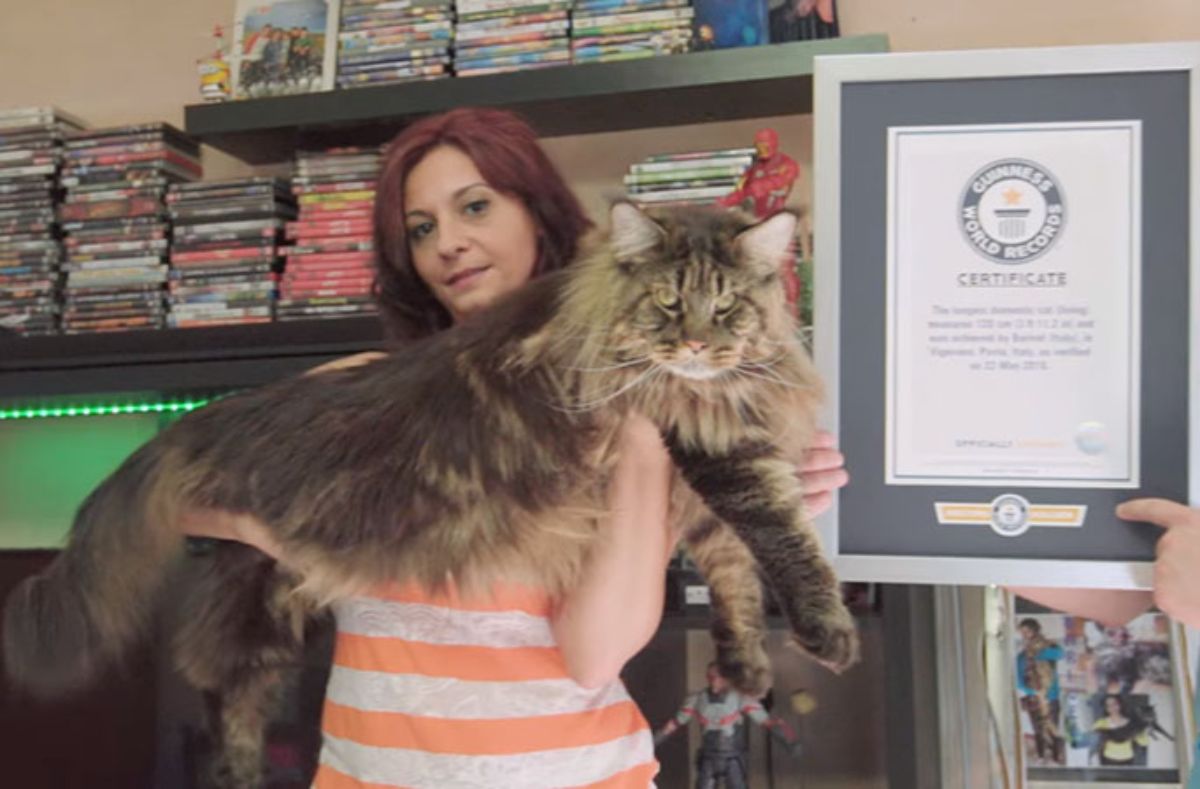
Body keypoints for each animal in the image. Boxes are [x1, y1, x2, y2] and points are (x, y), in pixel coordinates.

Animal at [4, 201, 859, 781]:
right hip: (260, 600)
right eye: (669, 301)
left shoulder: (701, 483)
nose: (696, 345)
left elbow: (735, 577)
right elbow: (782, 538)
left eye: (727, 304)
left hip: (272, 608)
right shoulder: (715, 451)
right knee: (214, 683)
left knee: (230, 696)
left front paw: (746, 666)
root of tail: (209, 418)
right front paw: (830, 633)